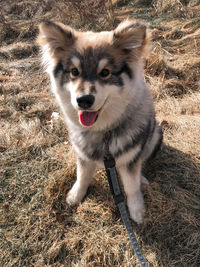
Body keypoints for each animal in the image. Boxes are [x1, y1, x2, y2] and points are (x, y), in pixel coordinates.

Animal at [37, 19, 162, 224]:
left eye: (105, 72)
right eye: (74, 71)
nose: (84, 100)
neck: (103, 131)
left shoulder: (131, 159)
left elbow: (131, 186)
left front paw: (137, 210)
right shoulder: (82, 155)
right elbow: (82, 176)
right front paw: (75, 195)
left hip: (155, 135)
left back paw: (142, 179)